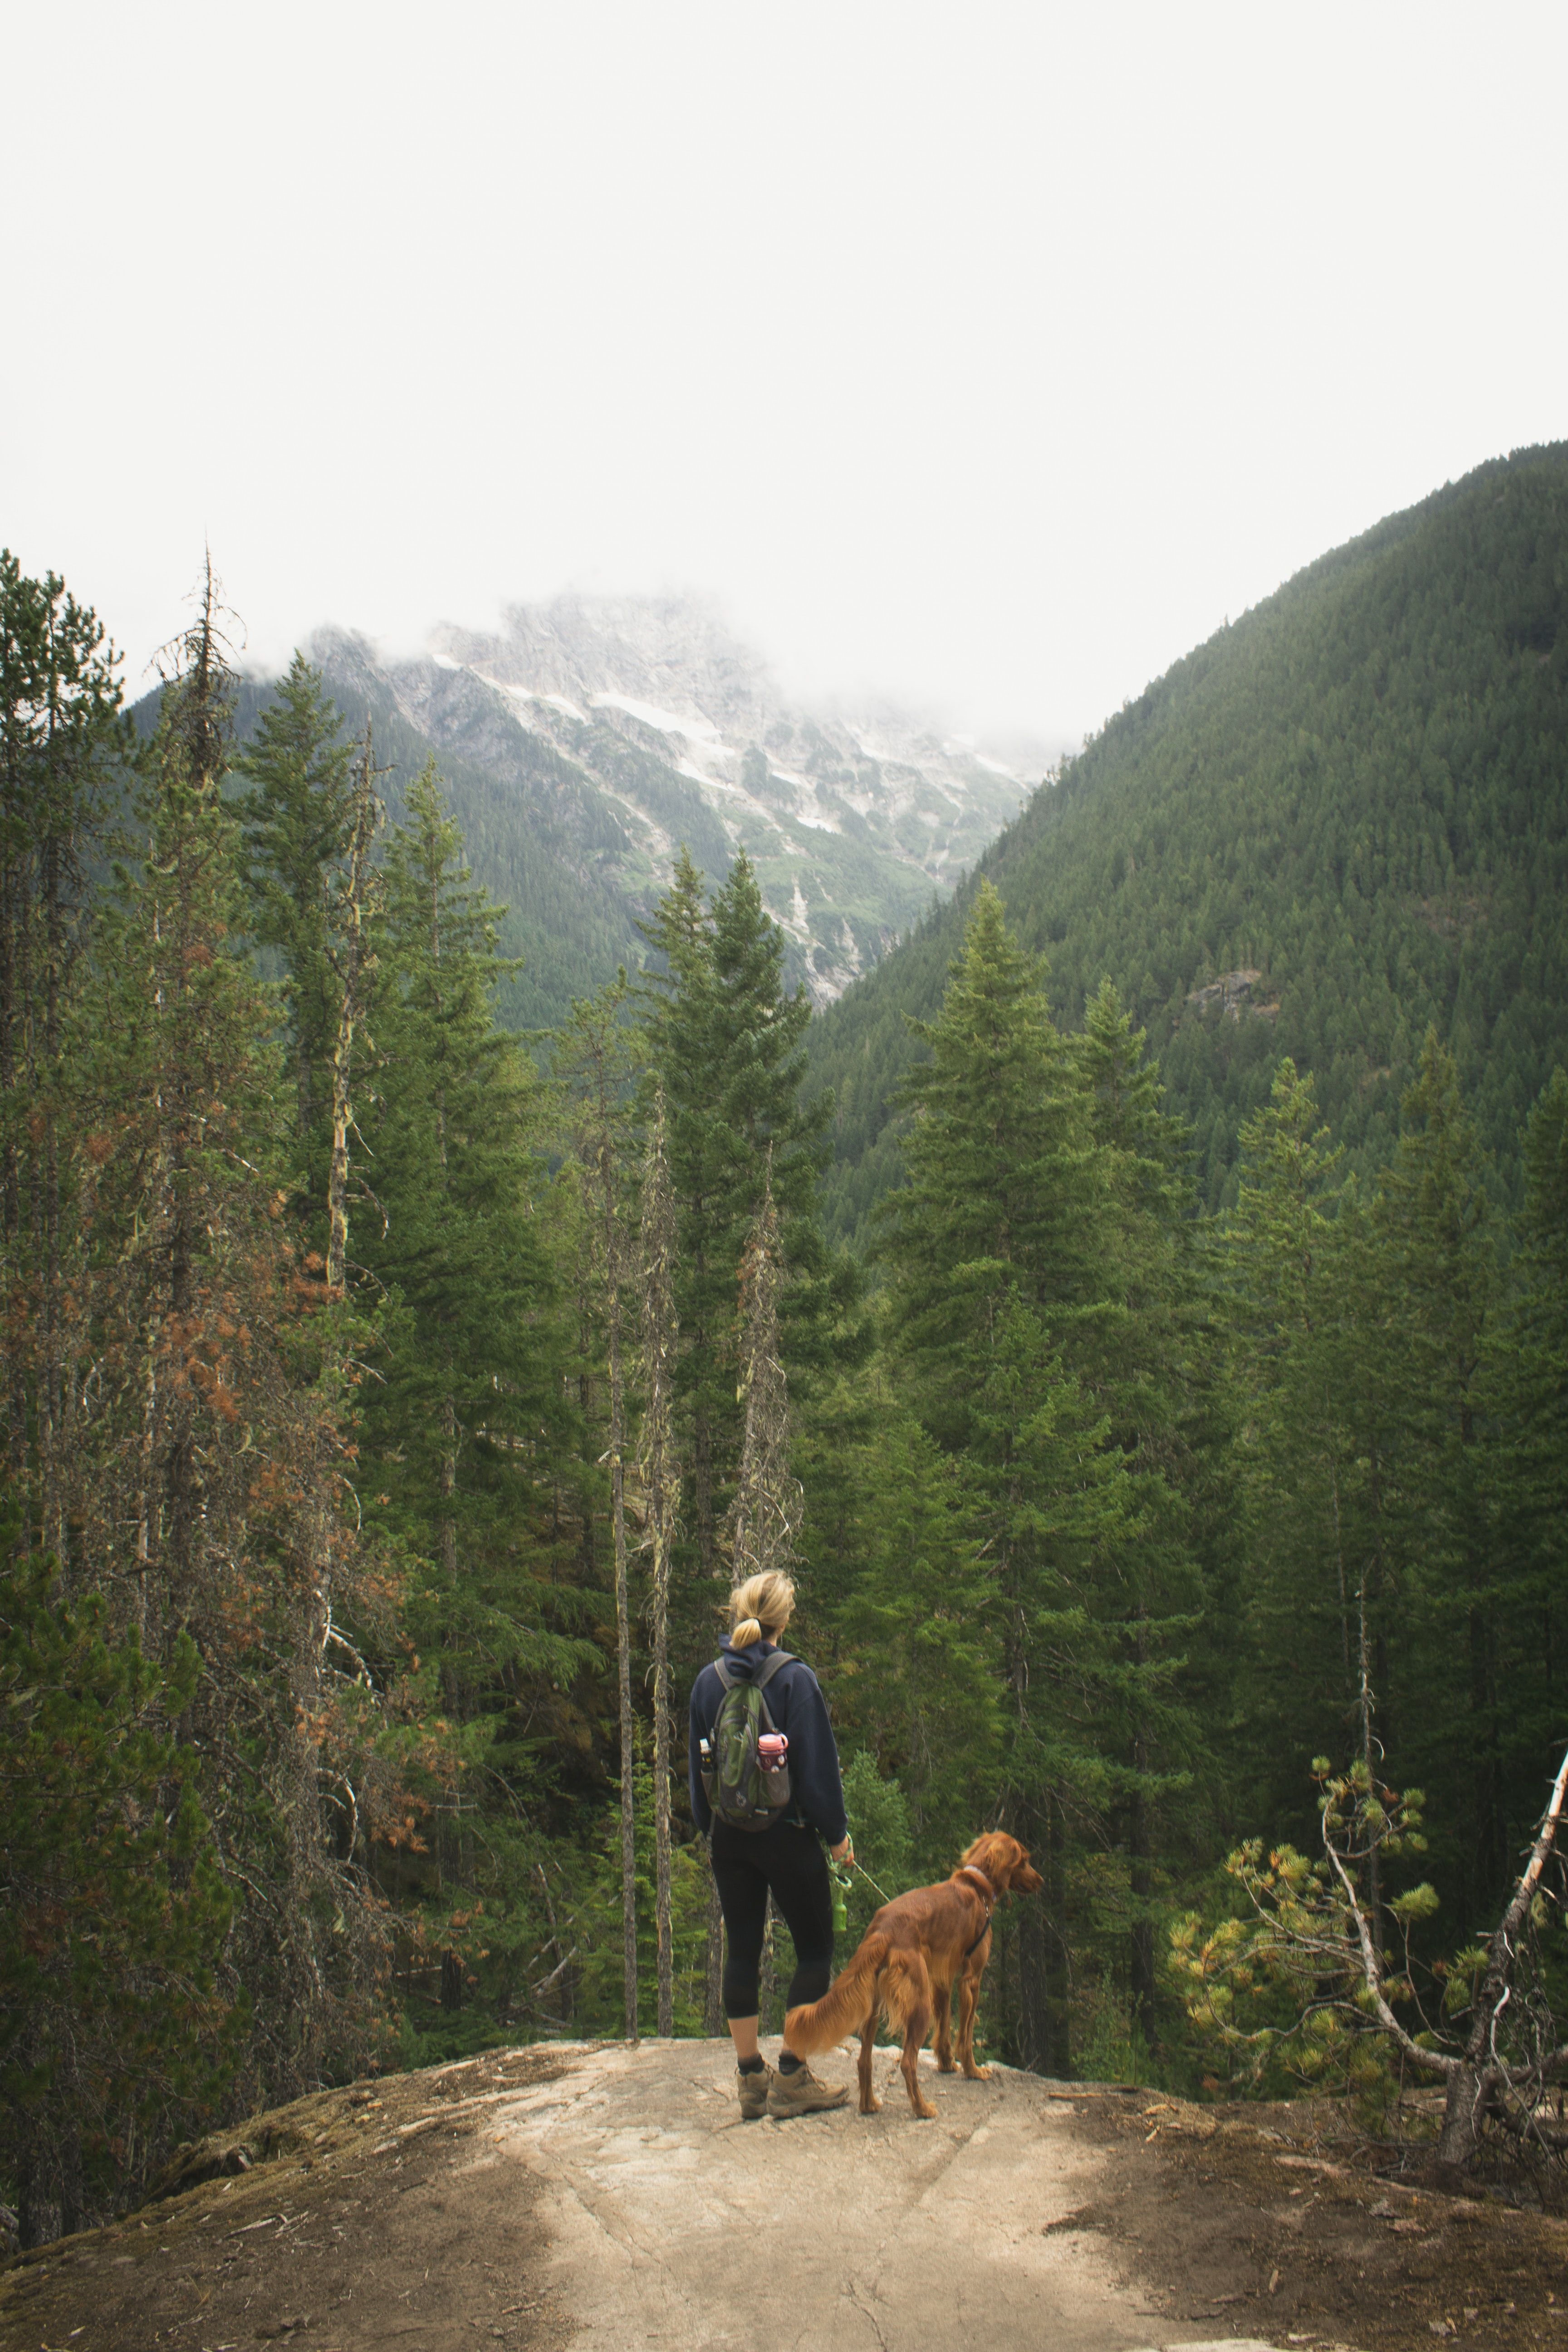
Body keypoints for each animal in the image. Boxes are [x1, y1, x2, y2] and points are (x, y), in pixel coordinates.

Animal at [785, 1825, 1044, 2126]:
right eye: (1024, 1860)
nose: (1041, 1881)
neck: (976, 1884)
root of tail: (883, 1929)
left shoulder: (942, 1980)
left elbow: (944, 2028)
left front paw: (946, 2063)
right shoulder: (971, 1979)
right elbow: (966, 2034)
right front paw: (973, 2071)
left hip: (875, 2004)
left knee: (864, 2060)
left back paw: (869, 2104)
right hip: (918, 2003)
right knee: (908, 2062)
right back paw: (922, 2108)